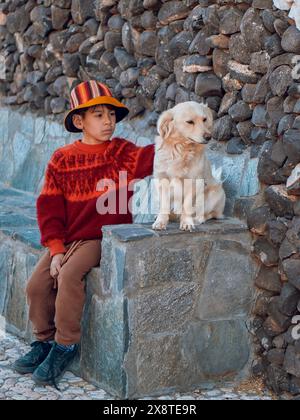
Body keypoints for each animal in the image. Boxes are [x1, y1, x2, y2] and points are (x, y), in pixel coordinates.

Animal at [152, 101, 225, 233]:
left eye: (204, 119)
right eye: (190, 122)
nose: (208, 136)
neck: (181, 149)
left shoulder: (193, 182)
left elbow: (187, 206)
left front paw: (187, 223)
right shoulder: (162, 179)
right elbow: (164, 205)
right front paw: (160, 222)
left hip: (215, 194)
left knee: (208, 215)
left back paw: (196, 219)